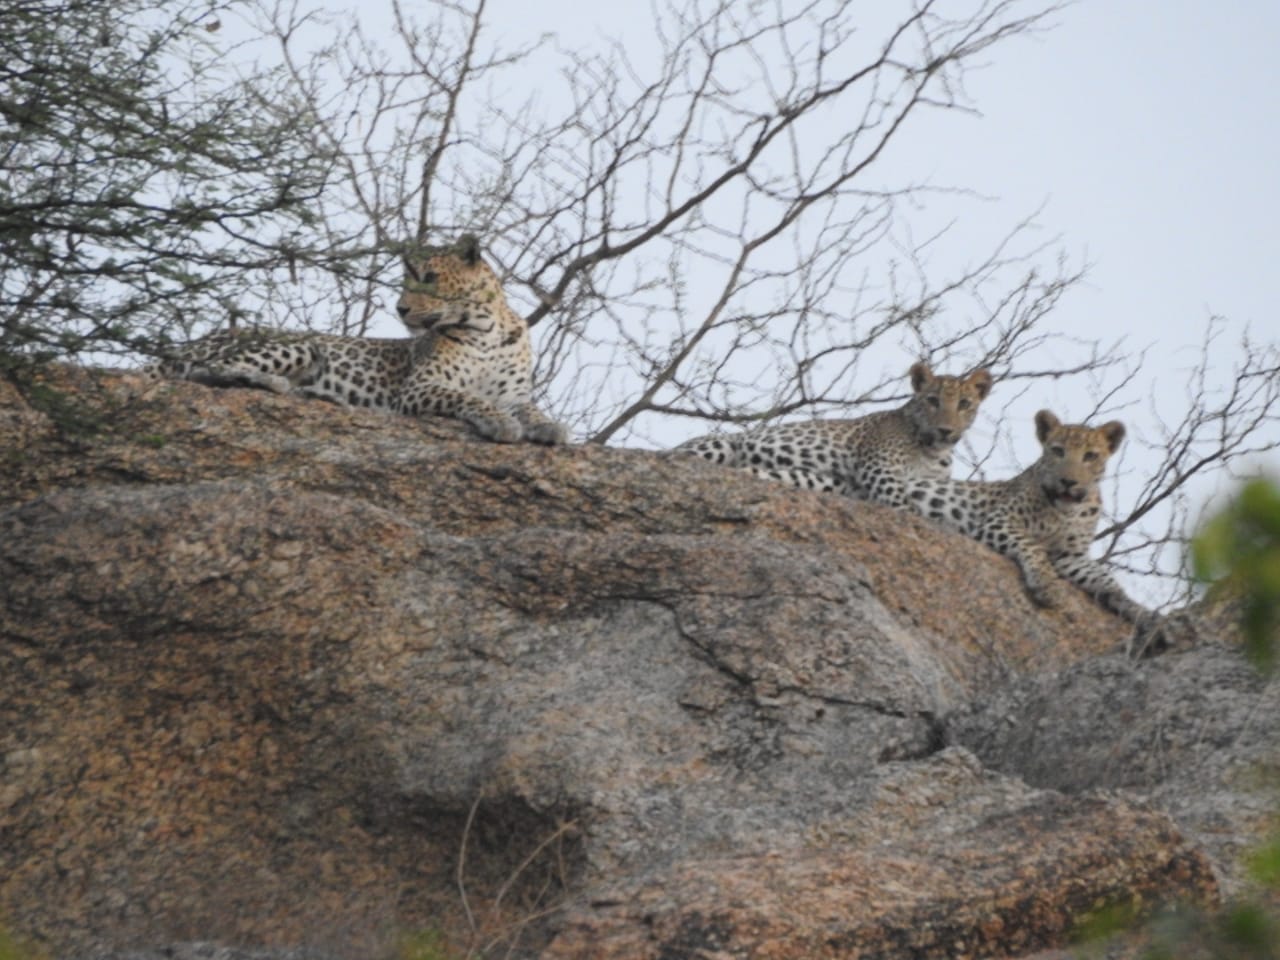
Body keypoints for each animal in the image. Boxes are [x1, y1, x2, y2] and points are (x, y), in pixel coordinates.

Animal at [142, 235, 568, 445]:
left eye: (429, 278)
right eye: (406, 278)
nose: (400, 309)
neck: (485, 329)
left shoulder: (514, 395)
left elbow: (531, 411)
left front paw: (552, 428)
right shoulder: (419, 387)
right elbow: (469, 398)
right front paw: (500, 424)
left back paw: (316, 394)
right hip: (297, 345)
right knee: (208, 372)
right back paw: (285, 386)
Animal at [675, 363, 993, 506]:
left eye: (964, 404)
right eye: (932, 401)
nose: (945, 430)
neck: (932, 450)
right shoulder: (881, 472)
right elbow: (902, 505)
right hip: (719, 444)